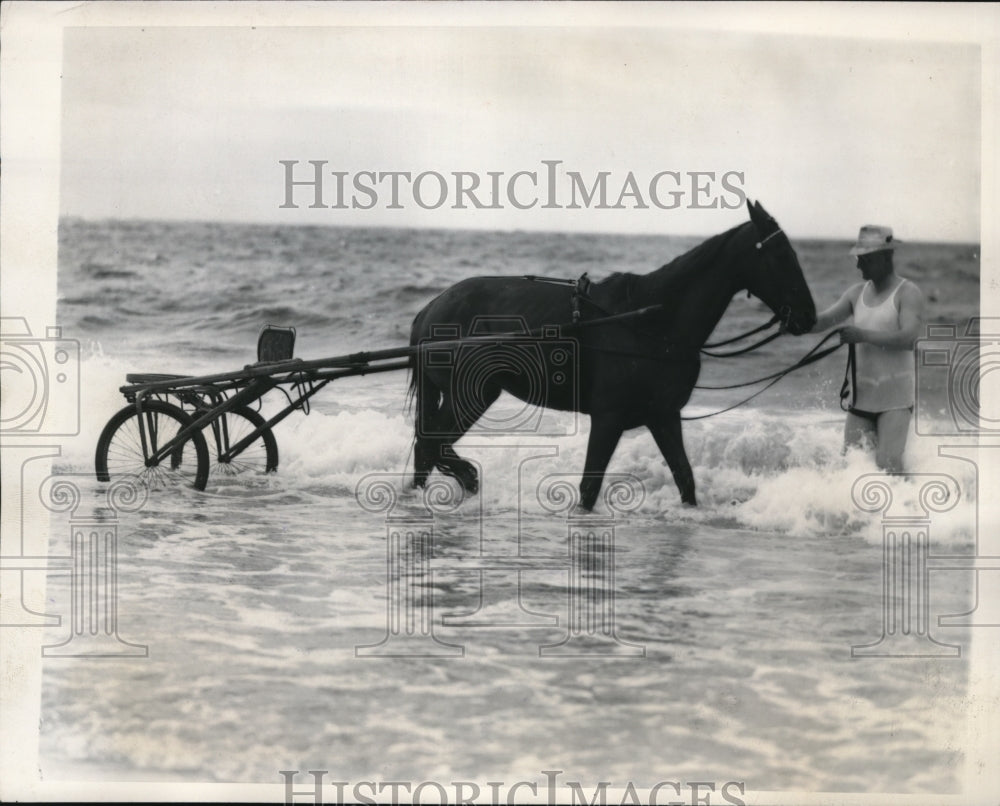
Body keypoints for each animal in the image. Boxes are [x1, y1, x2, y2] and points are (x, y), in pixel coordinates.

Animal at [410, 199, 816, 508]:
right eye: (781, 254)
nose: (809, 316)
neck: (650, 323)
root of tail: (431, 308)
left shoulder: (663, 416)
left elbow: (685, 479)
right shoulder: (608, 418)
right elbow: (589, 487)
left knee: (426, 451)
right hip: (471, 393)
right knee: (432, 445)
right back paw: (465, 476)